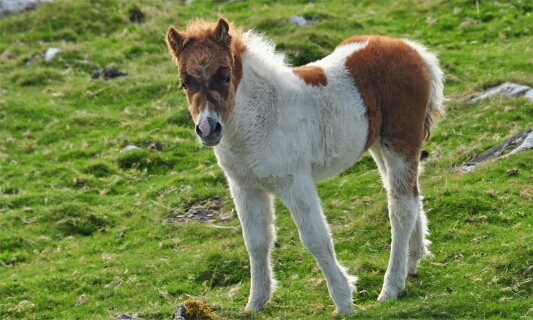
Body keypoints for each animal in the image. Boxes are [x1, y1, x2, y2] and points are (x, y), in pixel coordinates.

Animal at [165, 18, 444, 316]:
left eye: (227, 76)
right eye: (184, 83)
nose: (208, 129)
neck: (261, 116)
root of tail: (414, 50)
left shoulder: (295, 182)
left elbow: (315, 238)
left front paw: (344, 302)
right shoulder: (245, 187)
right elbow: (256, 241)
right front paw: (255, 302)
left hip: (399, 141)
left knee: (401, 206)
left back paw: (390, 288)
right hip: (379, 145)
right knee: (411, 195)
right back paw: (412, 263)